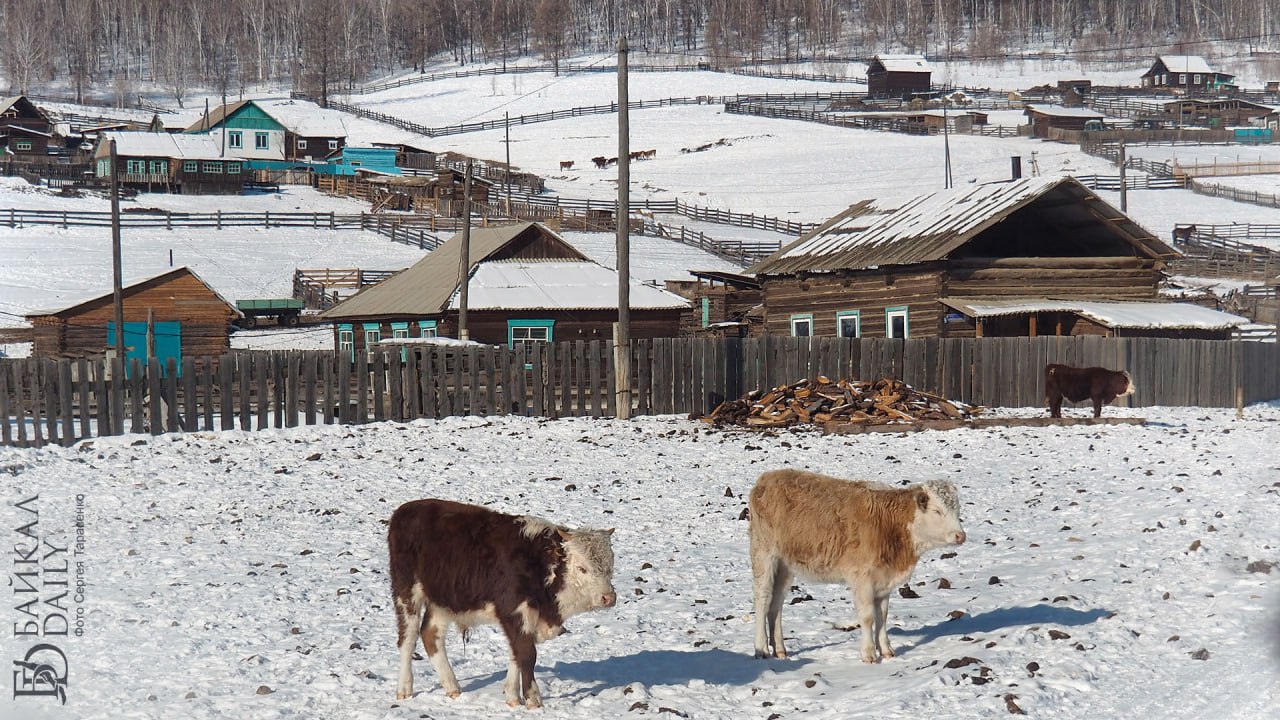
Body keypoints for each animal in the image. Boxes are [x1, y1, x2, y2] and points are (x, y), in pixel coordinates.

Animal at [384, 497, 614, 702]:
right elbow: (526, 654)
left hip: (443, 600)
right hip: (407, 591)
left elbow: (516, 653)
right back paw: (404, 689)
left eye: (611, 565)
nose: (609, 597)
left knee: (431, 635)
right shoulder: (515, 611)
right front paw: (533, 699)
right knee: (408, 638)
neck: (540, 565)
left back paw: (453, 688)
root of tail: (405, 510)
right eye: (582, 568)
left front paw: (512, 696)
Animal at [747, 466, 962, 661]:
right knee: (763, 598)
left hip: (785, 565)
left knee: (777, 603)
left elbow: (882, 616)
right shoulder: (862, 577)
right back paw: (762, 649)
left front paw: (886, 651)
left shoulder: (884, 581)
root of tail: (766, 478)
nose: (961, 535)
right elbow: (868, 617)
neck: (890, 525)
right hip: (764, 554)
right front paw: (869, 654)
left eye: (957, 510)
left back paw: (780, 650)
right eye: (937, 511)